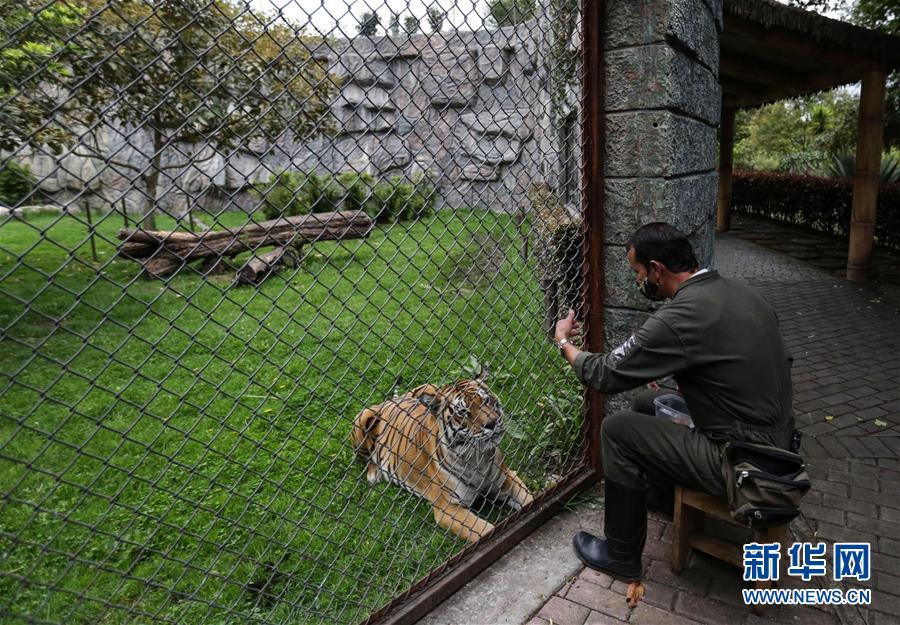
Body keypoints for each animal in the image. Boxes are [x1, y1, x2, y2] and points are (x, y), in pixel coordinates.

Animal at [350, 370, 536, 540]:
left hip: (430, 387)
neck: (477, 457)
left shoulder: (507, 479)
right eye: (462, 412)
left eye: (486, 400)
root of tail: (393, 400)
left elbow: (530, 499)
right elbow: (485, 530)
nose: (492, 423)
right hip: (363, 417)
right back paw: (374, 473)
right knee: (364, 457)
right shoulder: (447, 509)